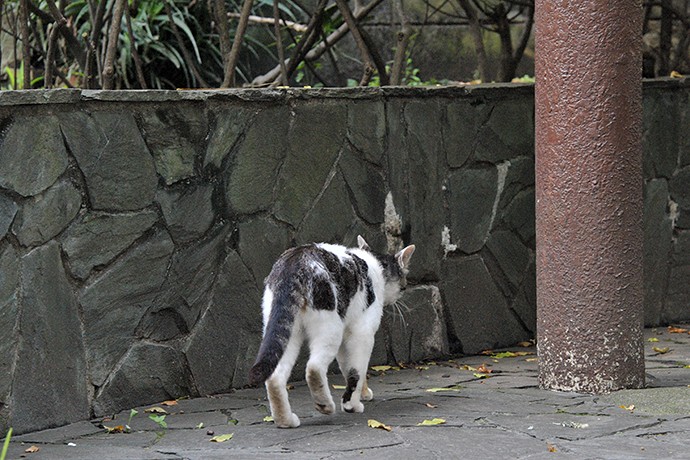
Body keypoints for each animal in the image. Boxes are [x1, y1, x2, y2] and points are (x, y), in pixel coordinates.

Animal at [250, 237, 416, 428]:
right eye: (403, 286)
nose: (399, 296)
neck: (374, 265)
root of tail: (294, 263)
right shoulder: (363, 334)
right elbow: (357, 370)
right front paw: (352, 404)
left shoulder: (346, 335)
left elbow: (349, 368)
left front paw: (363, 393)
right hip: (329, 328)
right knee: (314, 368)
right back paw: (325, 405)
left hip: (285, 332)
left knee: (275, 377)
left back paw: (286, 420)